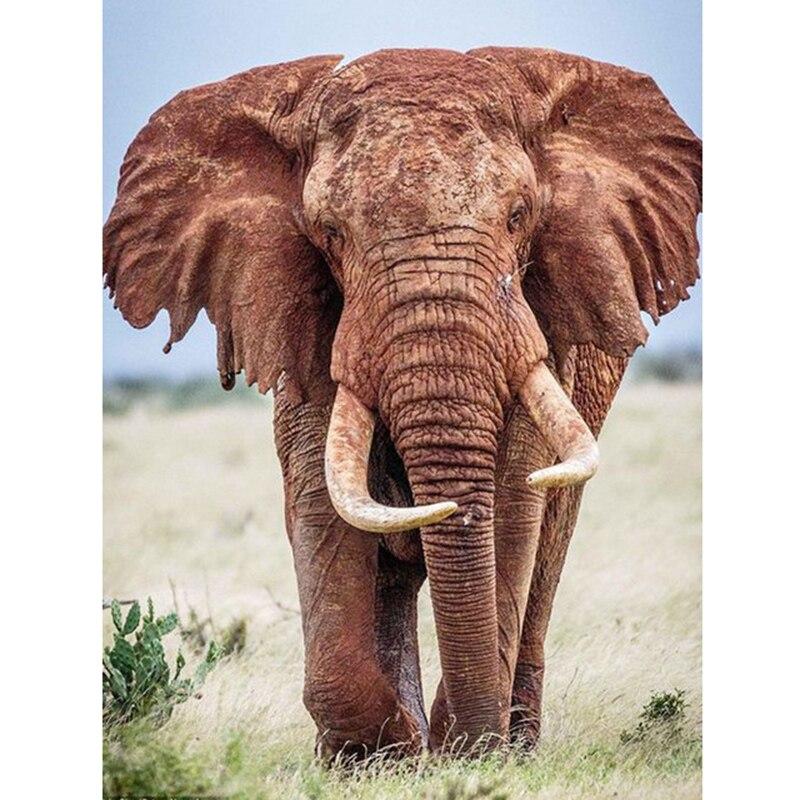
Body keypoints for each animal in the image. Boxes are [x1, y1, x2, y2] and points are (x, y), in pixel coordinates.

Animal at [104, 48, 701, 758]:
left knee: (550, 547)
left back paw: (517, 740)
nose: (461, 742)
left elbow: (513, 502)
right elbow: (320, 499)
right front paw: (376, 756)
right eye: (330, 234)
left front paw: (461, 749)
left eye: (519, 216)